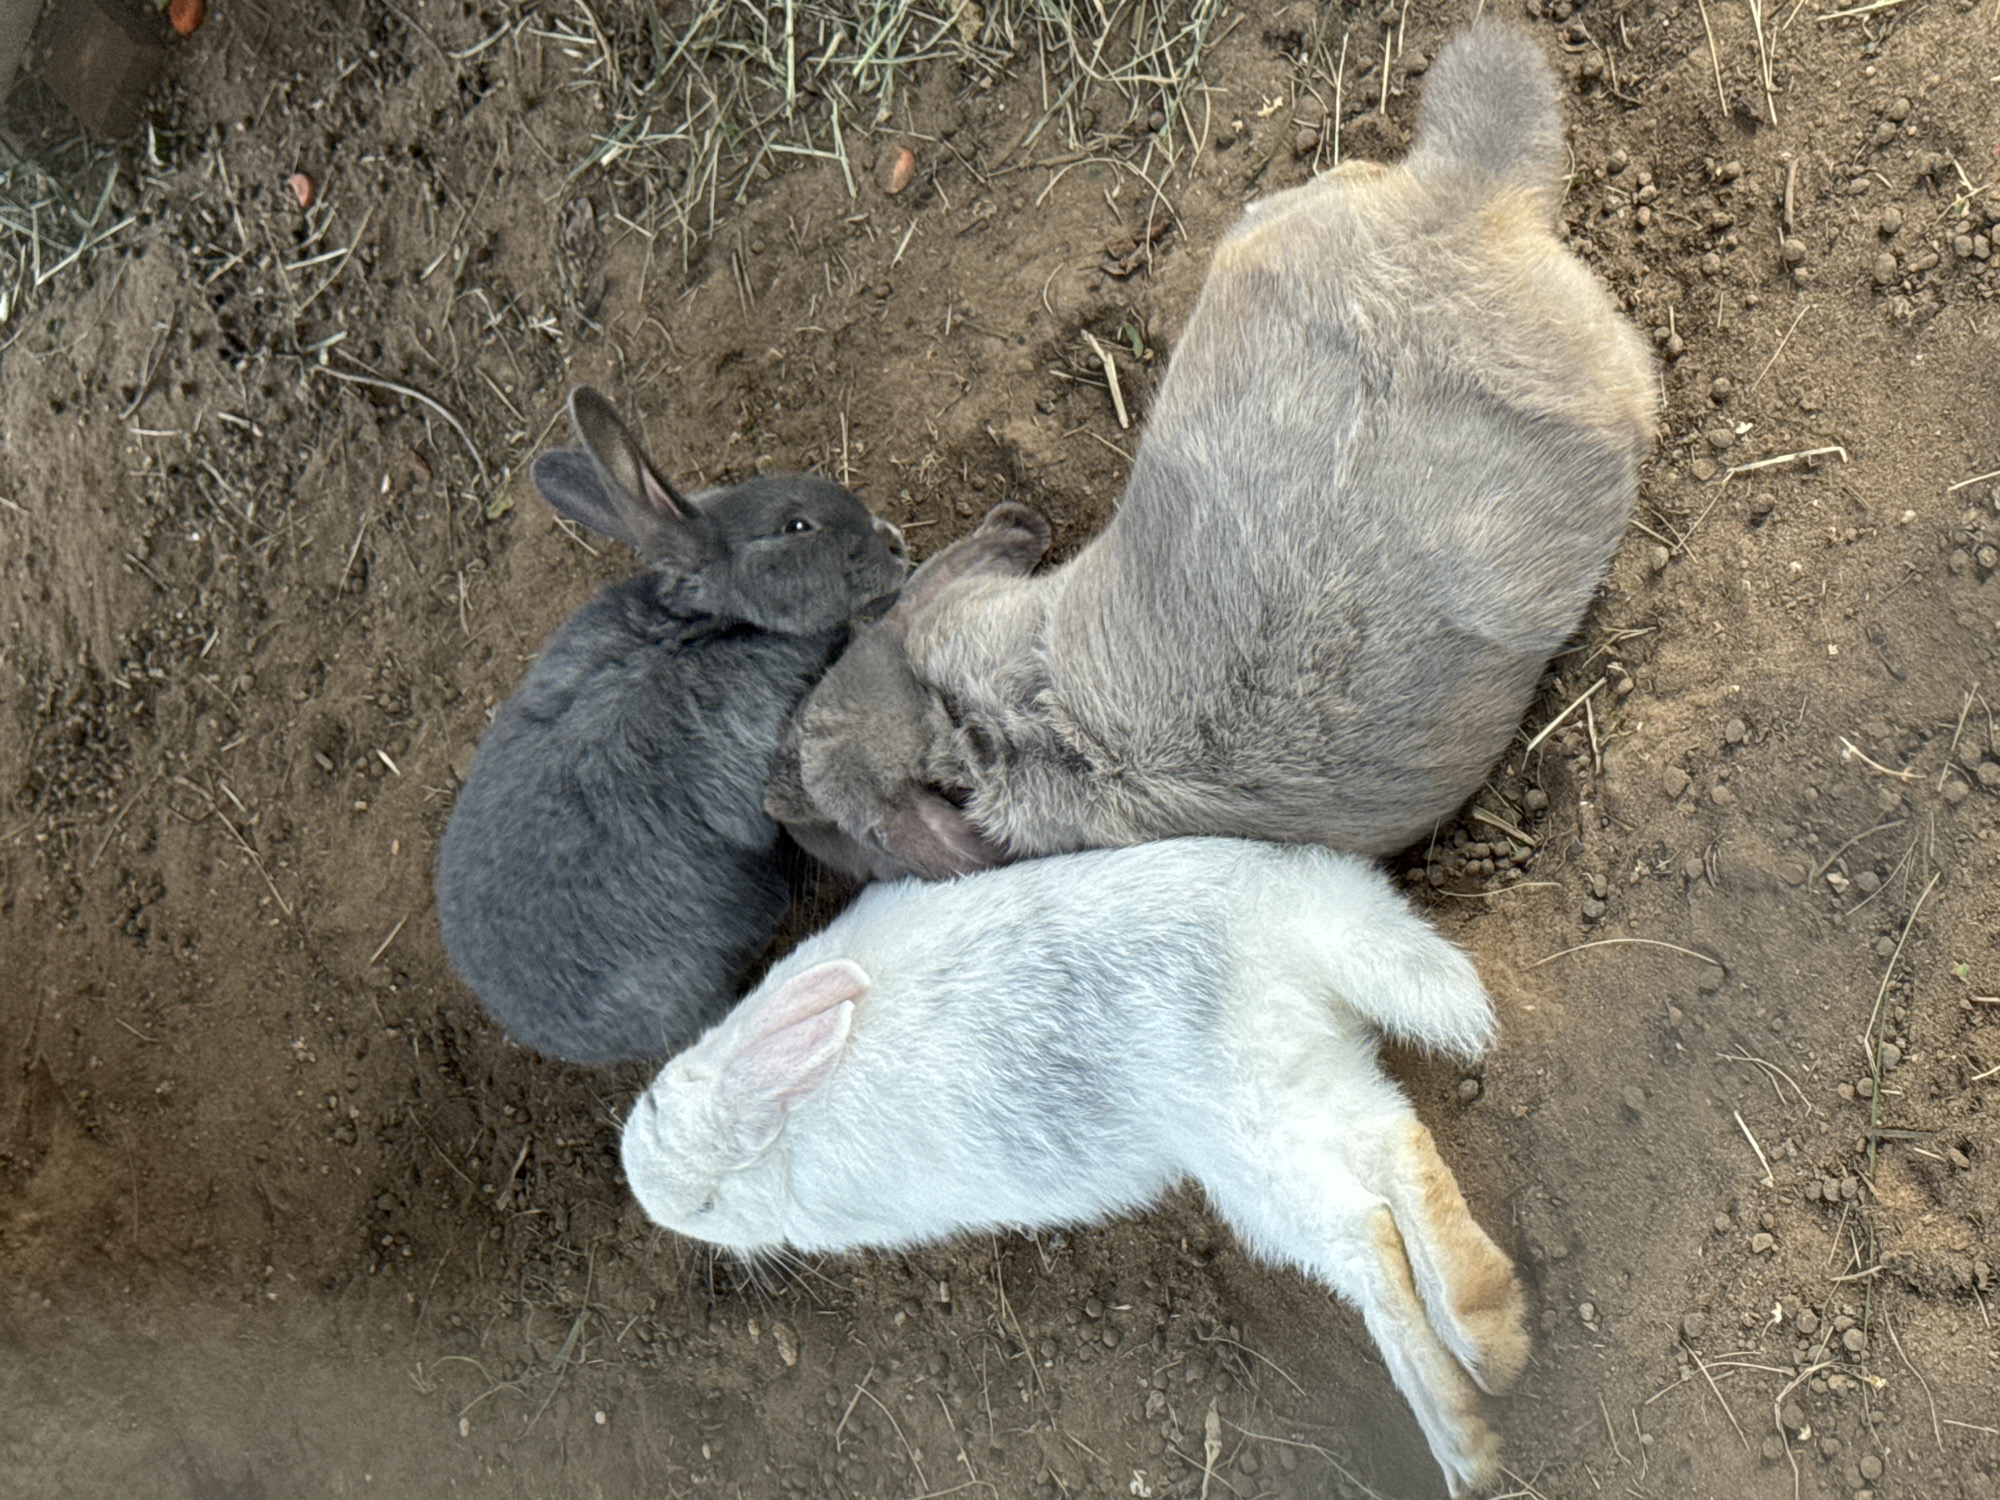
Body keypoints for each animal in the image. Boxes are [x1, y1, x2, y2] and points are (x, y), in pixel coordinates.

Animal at [621, 837, 1529, 1497]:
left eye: (704, 1207)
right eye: (657, 1104)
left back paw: (1463, 1439)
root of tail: (1288, 937)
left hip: (1244, 1135)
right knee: (1401, 1149)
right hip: (1303, 1080)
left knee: (1364, 1233)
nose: (644, 1188)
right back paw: (1491, 1334)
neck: (782, 1124)